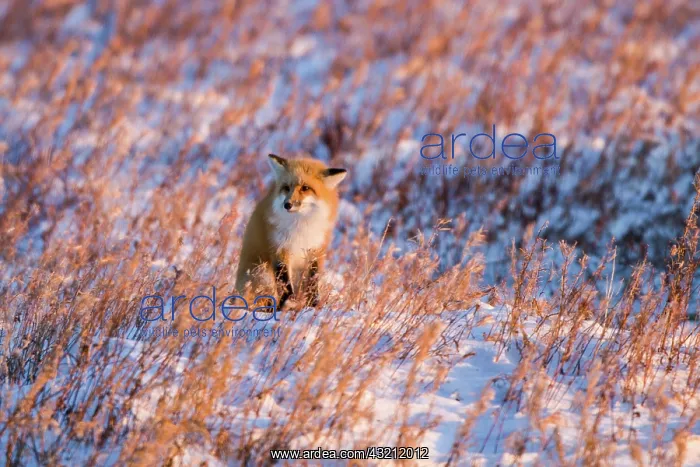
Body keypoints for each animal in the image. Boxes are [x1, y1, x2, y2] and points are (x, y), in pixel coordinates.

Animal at [235, 154, 347, 310]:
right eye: (286, 188)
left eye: (305, 188)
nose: (287, 204)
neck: (300, 227)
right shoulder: (279, 249)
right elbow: (284, 283)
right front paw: (288, 303)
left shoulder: (314, 251)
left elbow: (312, 283)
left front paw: (313, 306)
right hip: (261, 272)